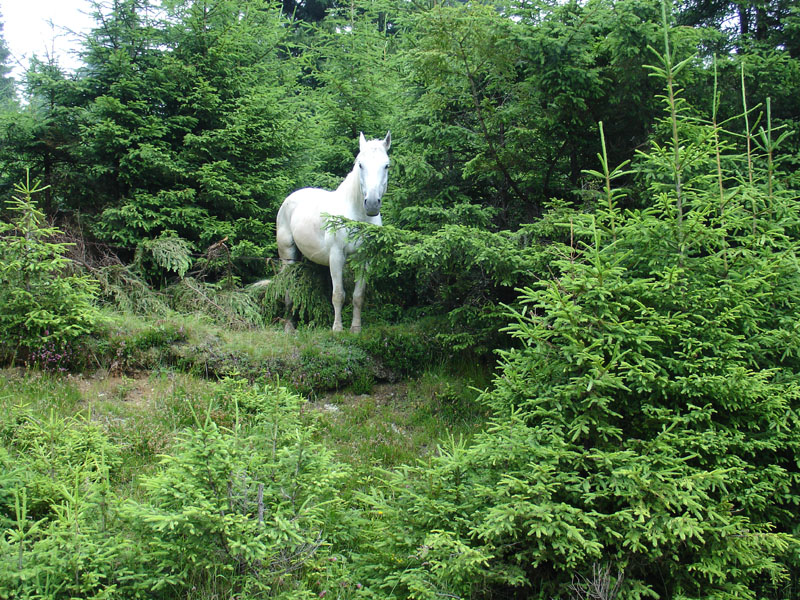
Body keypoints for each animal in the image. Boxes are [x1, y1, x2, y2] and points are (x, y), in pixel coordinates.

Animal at [276, 131, 390, 332]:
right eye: (360, 164)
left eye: (386, 165)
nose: (372, 204)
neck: (355, 216)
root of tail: (290, 199)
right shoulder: (336, 256)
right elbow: (338, 294)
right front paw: (337, 329)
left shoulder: (364, 259)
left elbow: (358, 296)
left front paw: (355, 329)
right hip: (288, 256)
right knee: (288, 288)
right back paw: (289, 326)